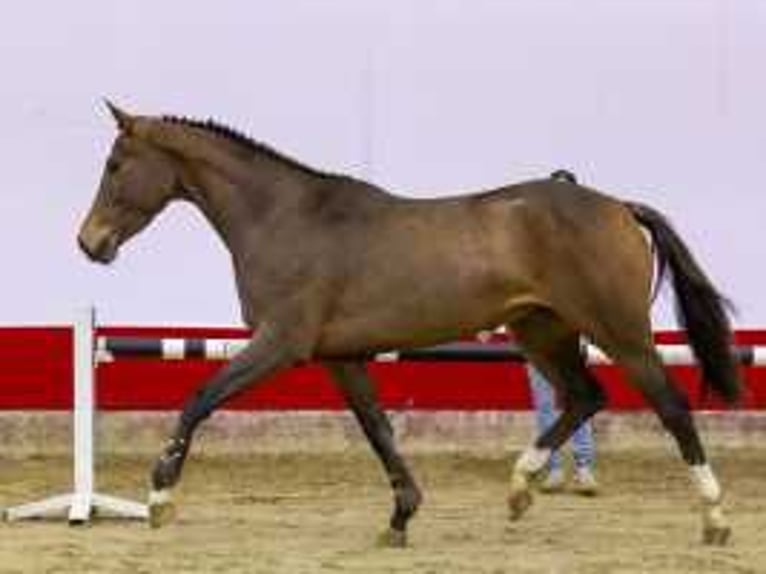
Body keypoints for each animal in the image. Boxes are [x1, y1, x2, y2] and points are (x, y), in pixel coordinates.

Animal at [78, 102, 744, 548]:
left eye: (115, 164)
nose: (90, 243)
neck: (284, 217)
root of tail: (618, 206)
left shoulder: (280, 343)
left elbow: (199, 398)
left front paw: (159, 498)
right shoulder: (341, 356)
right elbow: (378, 429)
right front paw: (401, 517)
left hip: (617, 330)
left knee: (670, 405)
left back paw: (714, 518)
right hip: (542, 330)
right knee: (585, 396)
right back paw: (519, 488)